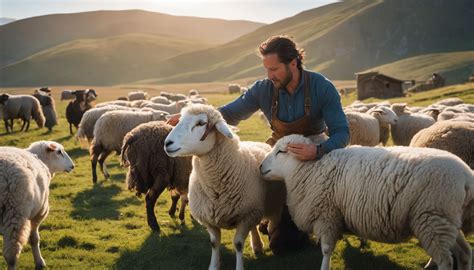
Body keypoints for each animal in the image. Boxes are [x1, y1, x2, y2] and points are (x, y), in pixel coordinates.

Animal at [0, 140, 74, 268]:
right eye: (59, 152)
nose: (72, 166)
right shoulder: (39, 213)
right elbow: (34, 239)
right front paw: (40, 262)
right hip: (15, 212)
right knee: (12, 253)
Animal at [166, 104, 286, 270]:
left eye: (201, 123)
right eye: (179, 120)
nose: (167, 143)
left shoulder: (246, 215)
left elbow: (238, 244)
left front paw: (239, 266)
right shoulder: (210, 219)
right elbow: (214, 243)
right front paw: (213, 265)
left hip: (268, 205)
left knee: (269, 221)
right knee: (254, 226)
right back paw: (257, 246)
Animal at [260, 134, 474, 270]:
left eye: (281, 151)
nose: (261, 166)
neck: (310, 169)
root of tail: (467, 176)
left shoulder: (326, 215)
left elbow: (326, 250)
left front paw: (324, 267)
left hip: (432, 216)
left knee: (446, 261)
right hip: (445, 219)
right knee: (464, 253)